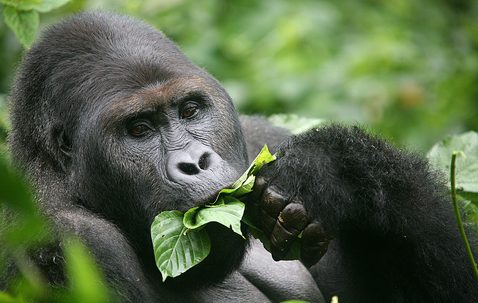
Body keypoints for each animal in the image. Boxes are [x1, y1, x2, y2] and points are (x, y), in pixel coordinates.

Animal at [3, 10, 478, 302]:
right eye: (138, 130)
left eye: (189, 110)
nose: (196, 162)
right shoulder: (62, 239)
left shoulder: (260, 136)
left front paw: (335, 170)